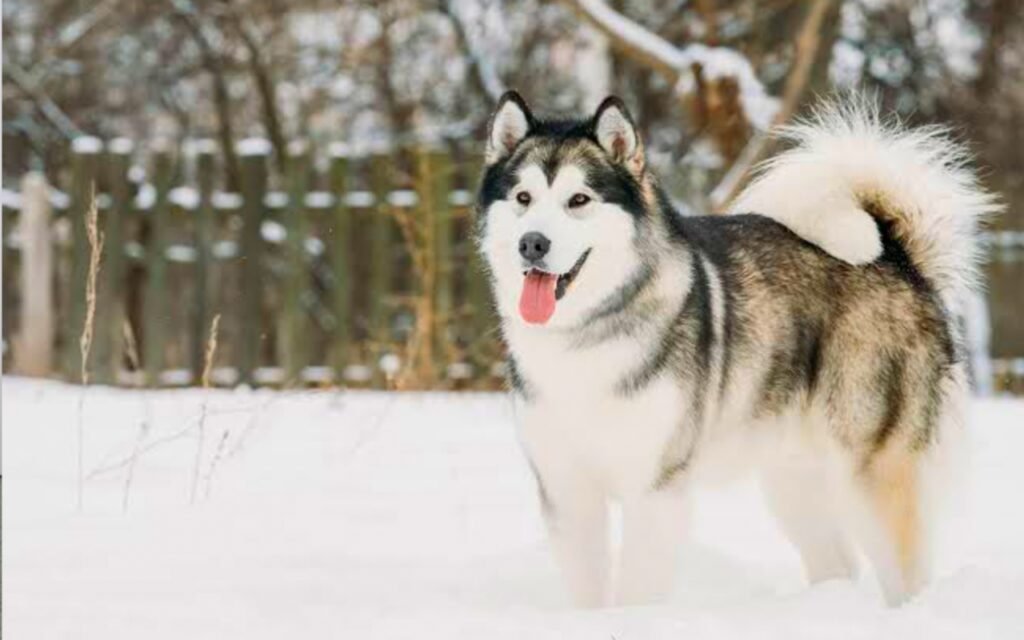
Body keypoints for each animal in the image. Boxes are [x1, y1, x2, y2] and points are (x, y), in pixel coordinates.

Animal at [475, 92, 995, 606]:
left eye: (578, 200)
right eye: (523, 198)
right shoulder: (566, 487)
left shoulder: (655, 486)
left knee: (907, 575)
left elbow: (637, 588)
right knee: (839, 563)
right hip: (793, 479)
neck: (585, 335)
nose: (533, 243)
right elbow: (588, 589)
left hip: (872, 471)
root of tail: (898, 259)